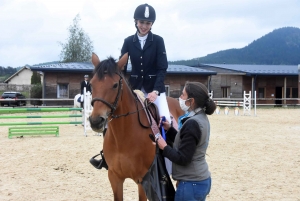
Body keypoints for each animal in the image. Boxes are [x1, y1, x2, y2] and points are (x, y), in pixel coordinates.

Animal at [88, 52, 184, 200]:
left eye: (115, 85)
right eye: (91, 85)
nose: (95, 121)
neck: (123, 137)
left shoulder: (143, 180)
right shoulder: (114, 177)